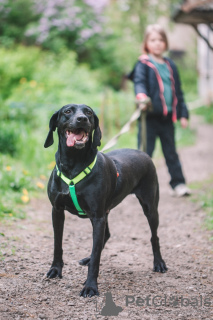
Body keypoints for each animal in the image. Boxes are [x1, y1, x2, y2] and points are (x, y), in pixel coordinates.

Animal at [44, 104, 167, 298]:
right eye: (67, 111)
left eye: (88, 112)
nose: (82, 119)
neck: (73, 165)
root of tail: (143, 152)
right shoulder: (57, 211)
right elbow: (58, 243)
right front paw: (56, 269)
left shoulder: (97, 216)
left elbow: (96, 256)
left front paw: (90, 286)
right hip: (105, 213)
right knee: (105, 236)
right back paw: (87, 258)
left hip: (149, 207)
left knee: (154, 236)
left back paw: (159, 262)